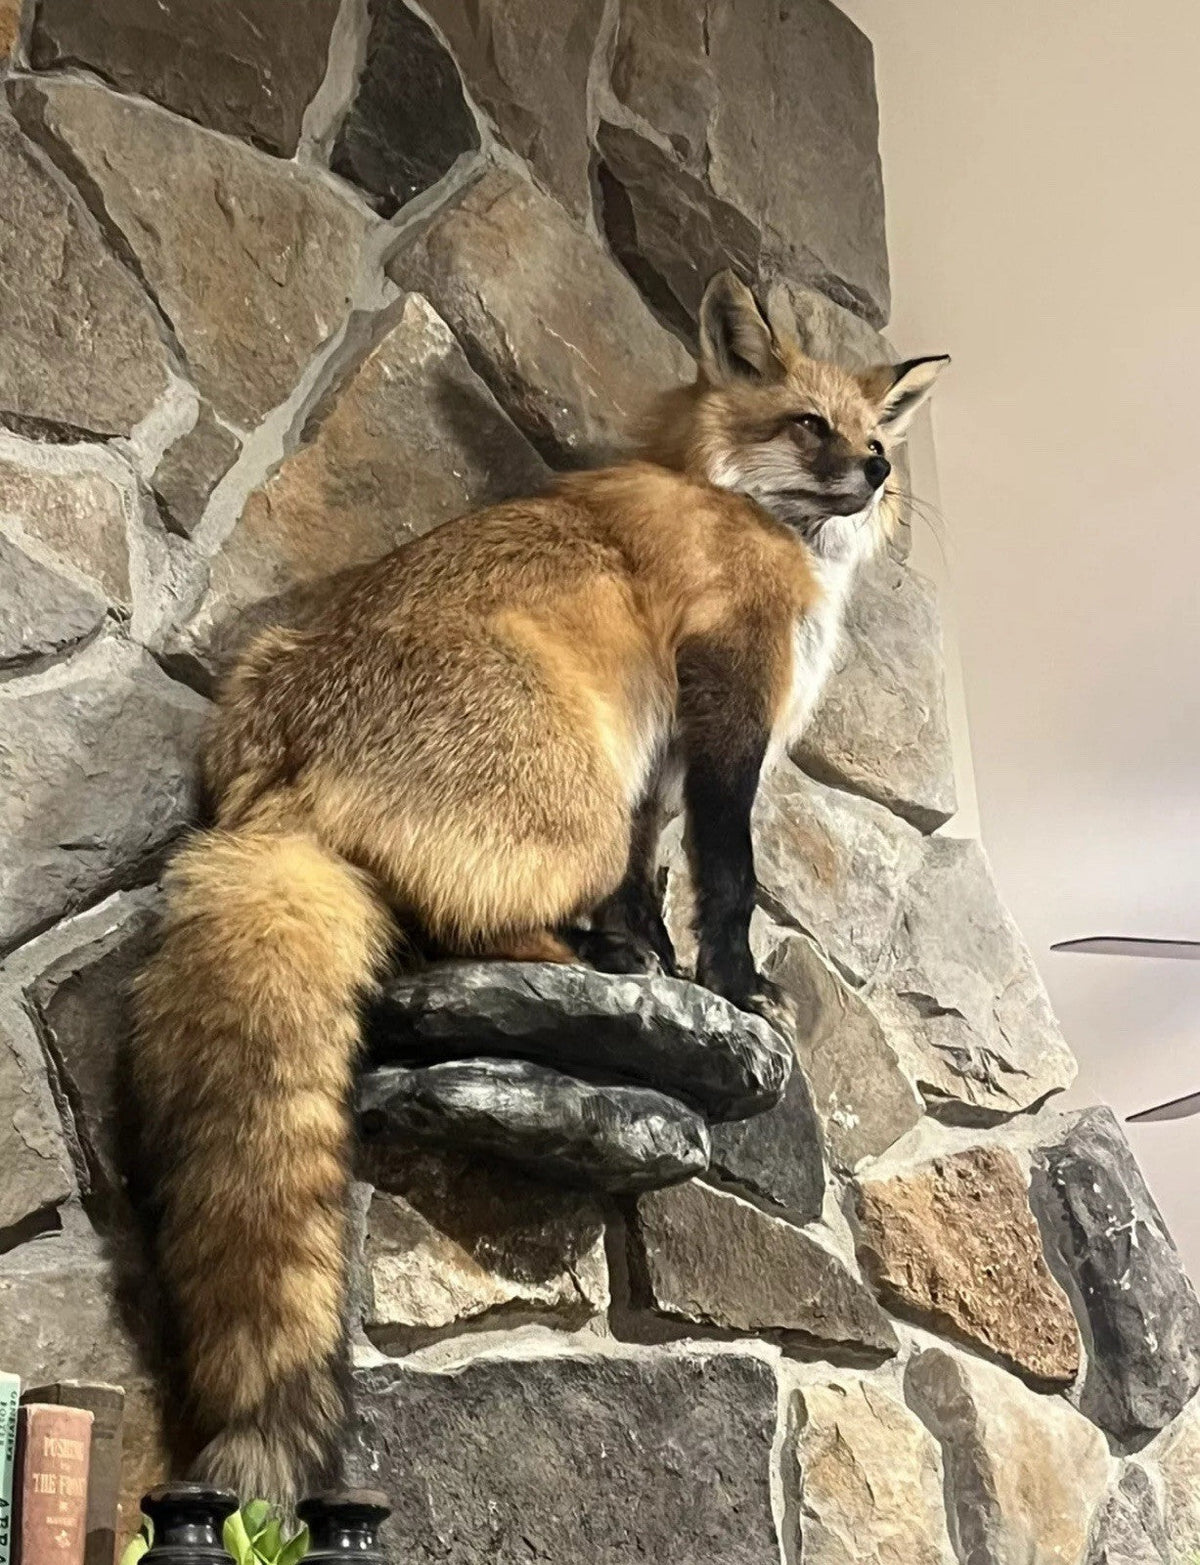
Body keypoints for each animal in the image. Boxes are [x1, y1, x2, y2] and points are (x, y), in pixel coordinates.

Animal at [129, 270, 947, 1503]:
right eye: (812, 426)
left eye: (876, 436)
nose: (879, 474)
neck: (753, 515)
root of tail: (275, 772)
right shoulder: (725, 697)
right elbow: (729, 872)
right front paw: (733, 982)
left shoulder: (659, 767)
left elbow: (652, 882)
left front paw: (664, 960)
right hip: (577, 799)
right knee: (460, 929)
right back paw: (585, 964)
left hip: (596, 787)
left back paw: (613, 960)